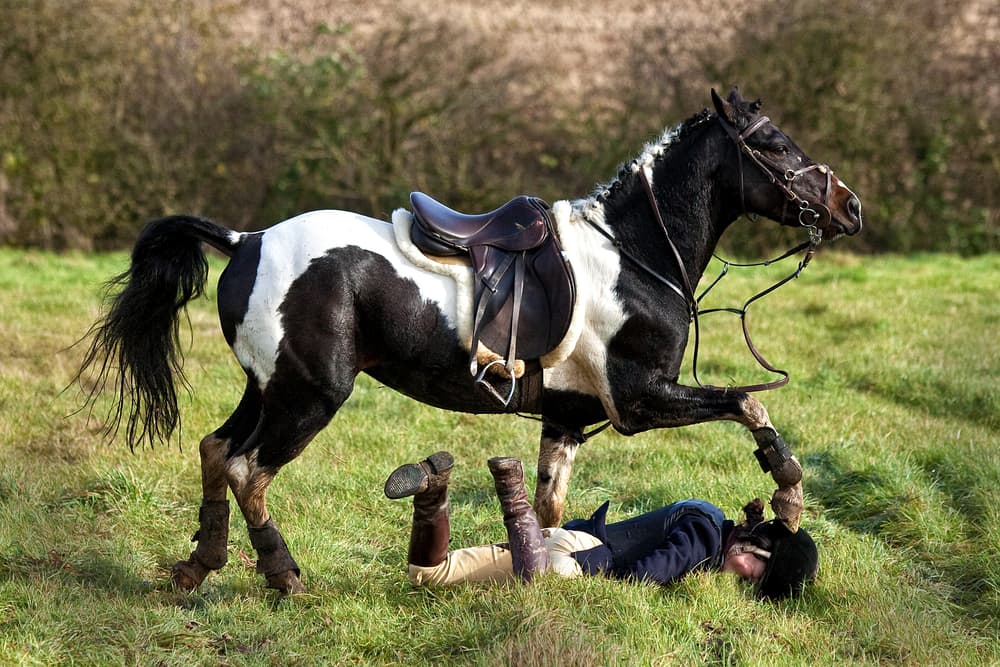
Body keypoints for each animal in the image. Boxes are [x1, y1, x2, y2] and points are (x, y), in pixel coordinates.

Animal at [77, 87, 862, 595]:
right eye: (773, 144)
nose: (850, 206)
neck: (636, 255)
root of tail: (247, 239)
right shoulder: (641, 401)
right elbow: (750, 406)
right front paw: (790, 498)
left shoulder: (568, 416)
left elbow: (548, 510)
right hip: (309, 395)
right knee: (248, 471)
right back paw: (285, 577)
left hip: (267, 387)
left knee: (216, 449)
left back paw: (197, 568)